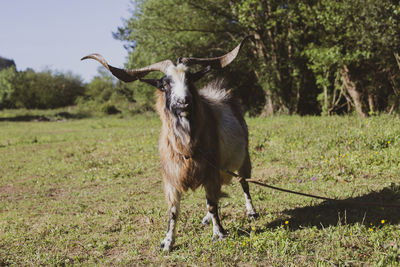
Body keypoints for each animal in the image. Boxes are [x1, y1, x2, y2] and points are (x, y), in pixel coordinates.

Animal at [81, 36, 258, 252]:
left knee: (244, 183)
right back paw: (207, 219)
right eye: (165, 84)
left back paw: (251, 212)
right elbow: (174, 211)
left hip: (244, 158)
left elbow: (212, 204)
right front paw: (167, 242)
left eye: (189, 79)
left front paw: (219, 234)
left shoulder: (211, 173)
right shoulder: (171, 178)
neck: (186, 146)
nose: (184, 102)